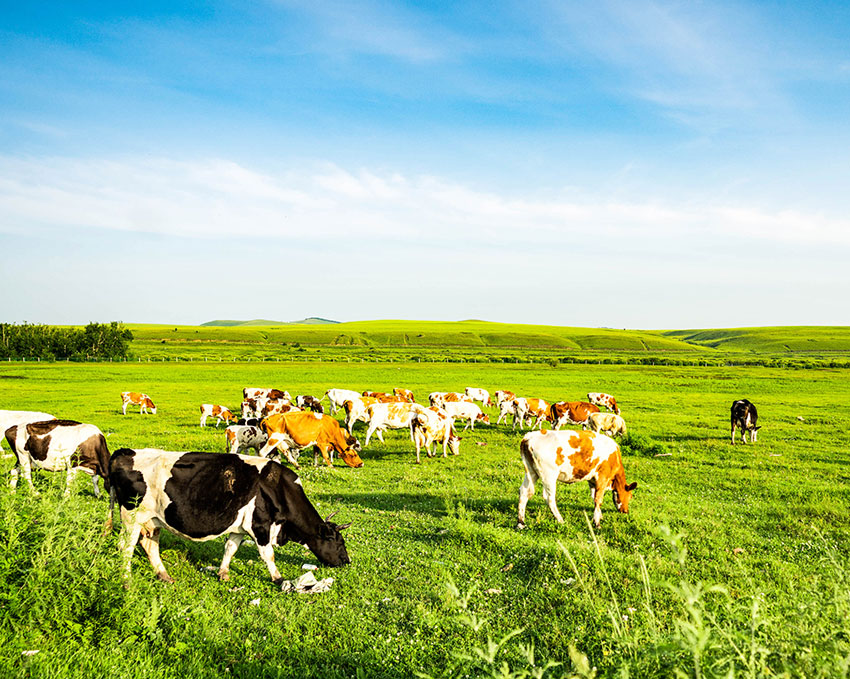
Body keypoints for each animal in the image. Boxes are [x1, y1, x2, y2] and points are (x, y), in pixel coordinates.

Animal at [105, 448, 351, 585]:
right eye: (337, 542)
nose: (347, 562)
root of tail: (125, 452)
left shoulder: (239, 528)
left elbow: (230, 549)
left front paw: (223, 573)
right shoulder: (259, 526)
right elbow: (268, 555)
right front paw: (279, 579)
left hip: (153, 520)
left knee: (150, 546)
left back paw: (163, 575)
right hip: (132, 517)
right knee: (126, 548)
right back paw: (126, 581)